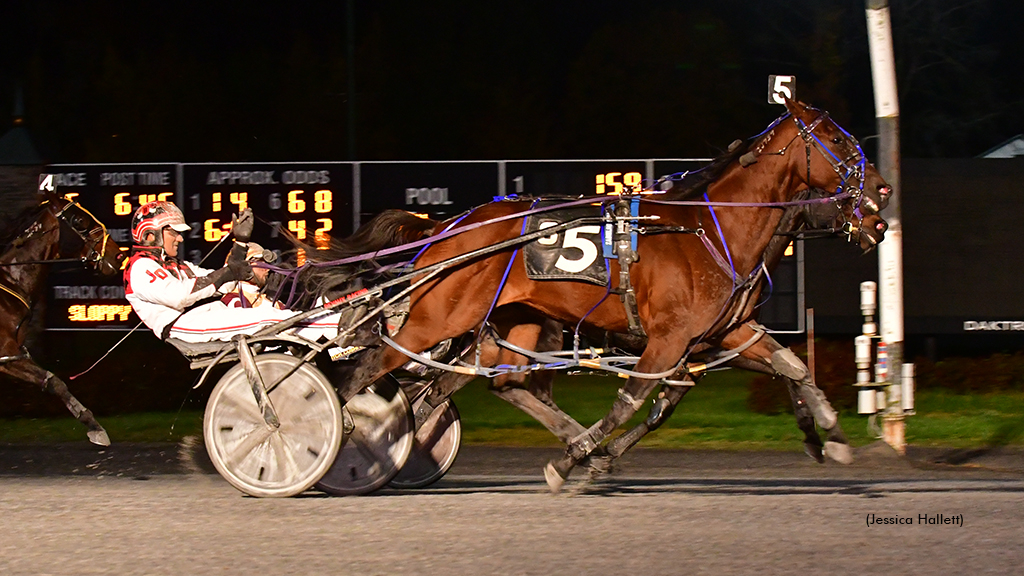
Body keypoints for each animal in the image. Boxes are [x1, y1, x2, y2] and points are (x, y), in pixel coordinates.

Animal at [0, 188, 125, 444]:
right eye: (80, 221)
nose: (117, 255)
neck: (11, 282)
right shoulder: (6, 352)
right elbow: (55, 383)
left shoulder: (11, 357)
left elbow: (52, 381)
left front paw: (93, 424)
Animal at [319, 99, 888, 487]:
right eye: (838, 140)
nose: (880, 202)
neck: (709, 230)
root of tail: (449, 224)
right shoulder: (670, 340)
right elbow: (632, 403)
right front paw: (578, 460)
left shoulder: (725, 332)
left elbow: (792, 367)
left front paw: (831, 437)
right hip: (437, 319)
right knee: (371, 371)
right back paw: (346, 446)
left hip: (515, 322)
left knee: (501, 384)